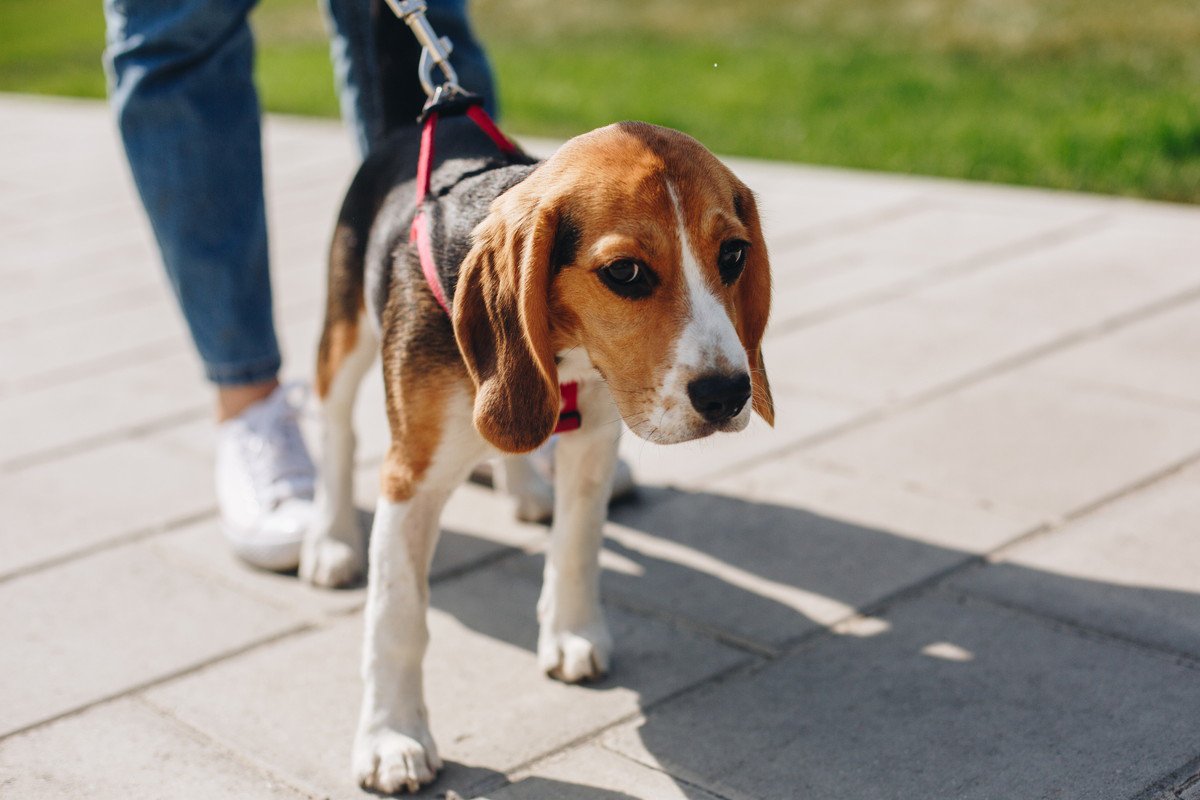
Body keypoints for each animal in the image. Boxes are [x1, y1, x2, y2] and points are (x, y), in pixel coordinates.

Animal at [295, 113, 772, 796]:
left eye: (733, 255)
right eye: (625, 273)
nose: (729, 393)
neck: (566, 354)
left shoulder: (594, 441)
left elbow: (576, 547)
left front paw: (571, 633)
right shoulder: (411, 476)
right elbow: (398, 615)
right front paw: (393, 739)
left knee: (510, 438)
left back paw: (524, 490)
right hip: (345, 332)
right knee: (338, 431)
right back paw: (330, 541)